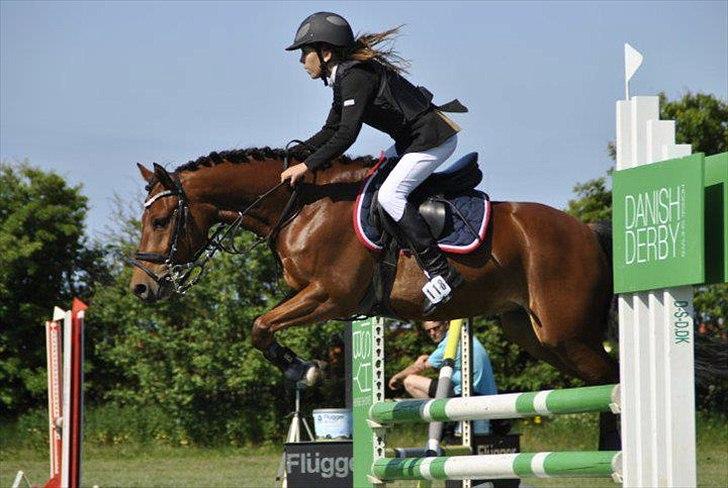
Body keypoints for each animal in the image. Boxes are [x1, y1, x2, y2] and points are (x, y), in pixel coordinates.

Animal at [129, 147, 617, 390]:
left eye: (160, 221)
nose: (141, 289)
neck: (301, 206)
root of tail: (586, 230)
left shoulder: (330, 295)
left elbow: (260, 325)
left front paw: (302, 371)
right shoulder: (316, 295)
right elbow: (262, 326)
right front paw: (304, 368)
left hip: (568, 333)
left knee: (614, 380)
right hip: (535, 334)